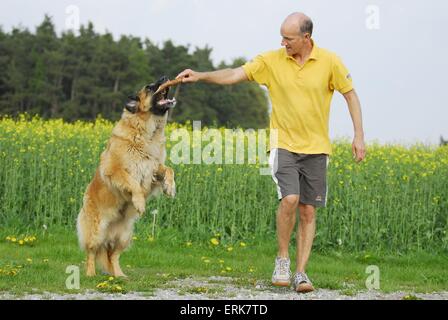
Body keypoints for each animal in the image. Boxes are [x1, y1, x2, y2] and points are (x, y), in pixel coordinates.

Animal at [77, 76, 175, 276]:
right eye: (149, 87)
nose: (165, 77)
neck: (148, 132)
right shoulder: (116, 170)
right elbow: (133, 184)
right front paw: (139, 203)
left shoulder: (153, 168)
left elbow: (169, 169)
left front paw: (170, 187)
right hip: (97, 231)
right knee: (91, 253)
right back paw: (90, 274)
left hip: (124, 236)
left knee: (113, 255)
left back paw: (120, 276)